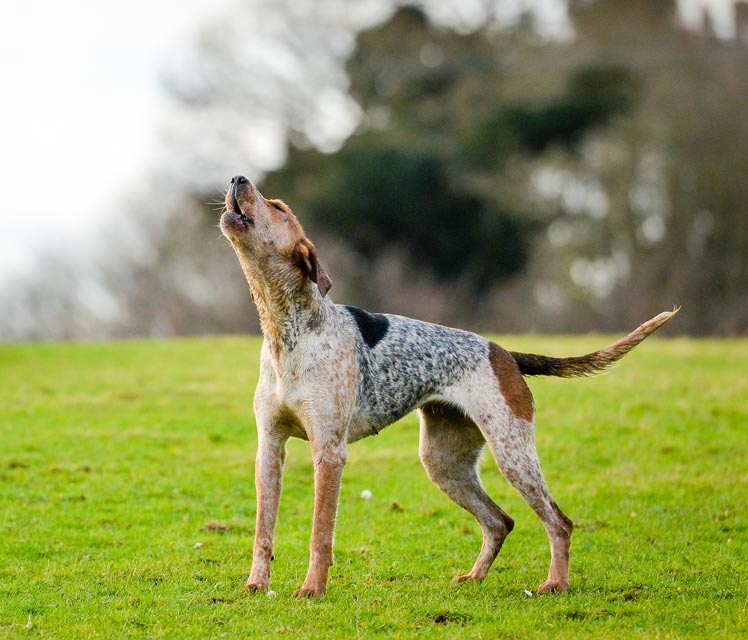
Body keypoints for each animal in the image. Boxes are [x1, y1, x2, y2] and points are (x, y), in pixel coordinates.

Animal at [218, 174, 676, 596]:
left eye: (278, 207)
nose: (238, 178)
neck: (287, 330)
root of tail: (506, 353)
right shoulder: (269, 449)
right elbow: (263, 532)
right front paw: (256, 585)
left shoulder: (328, 452)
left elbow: (320, 534)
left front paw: (312, 589)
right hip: (444, 462)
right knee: (500, 521)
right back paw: (475, 577)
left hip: (512, 454)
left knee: (558, 522)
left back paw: (555, 584)